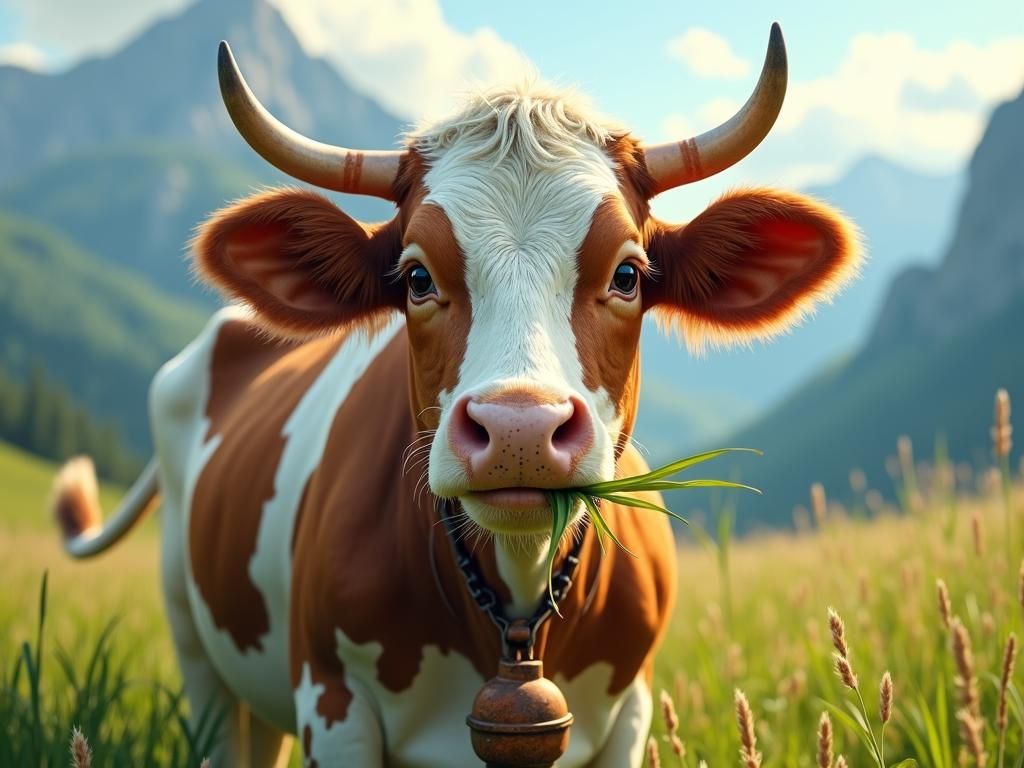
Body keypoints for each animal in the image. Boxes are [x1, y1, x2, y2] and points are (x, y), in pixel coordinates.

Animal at [51, 24, 860, 768]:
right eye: (416, 277)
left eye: (628, 274)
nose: (519, 430)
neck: (514, 594)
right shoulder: (333, 704)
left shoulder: (630, 714)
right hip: (199, 656)